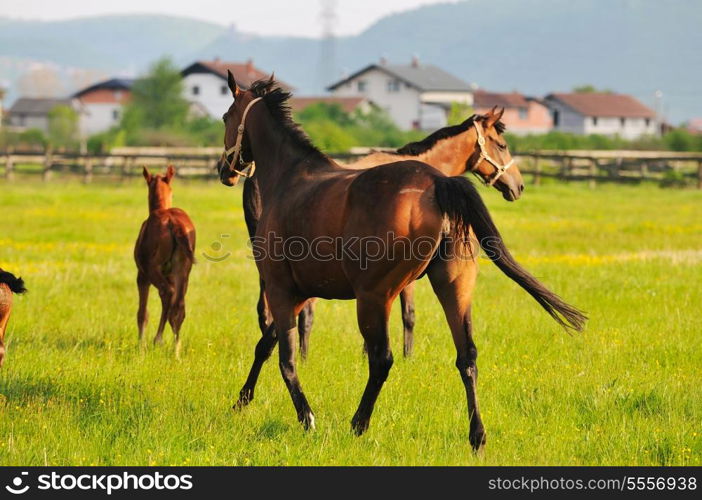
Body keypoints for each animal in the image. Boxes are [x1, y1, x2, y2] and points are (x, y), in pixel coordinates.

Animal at [135, 164, 197, 352]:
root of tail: (173, 223)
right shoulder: (170, 274)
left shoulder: (142, 275)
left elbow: (143, 312)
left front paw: (141, 343)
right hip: (183, 270)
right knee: (179, 306)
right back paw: (176, 348)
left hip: (152, 268)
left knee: (167, 292)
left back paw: (158, 339)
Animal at [245, 110, 524, 360]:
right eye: (502, 145)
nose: (518, 186)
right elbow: (408, 315)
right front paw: (406, 356)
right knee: (302, 314)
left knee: (269, 311)